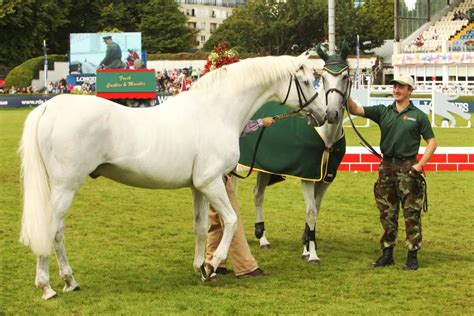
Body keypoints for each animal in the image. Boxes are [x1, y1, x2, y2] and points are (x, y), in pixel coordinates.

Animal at [20, 52, 328, 298]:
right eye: (305, 81)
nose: (324, 115)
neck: (216, 112)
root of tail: (48, 107)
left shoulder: (198, 187)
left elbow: (201, 227)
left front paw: (201, 268)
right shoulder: (211, 182)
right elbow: (230, 220)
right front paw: (212, 264)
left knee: (57, 232)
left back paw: (69, 281)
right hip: (65, 187)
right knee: (51, 229)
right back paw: (48, 286)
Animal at [250, 43, 350, 262]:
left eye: (345, 76)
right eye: (323, 77)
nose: (331, 114)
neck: (326, 137)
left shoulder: (325, 178)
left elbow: (315, 210)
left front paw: (306, 245)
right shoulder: (308, 175)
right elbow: (311, 211)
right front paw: (312, 254)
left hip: (263, 168)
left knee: (258, 195)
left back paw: (263, 238)